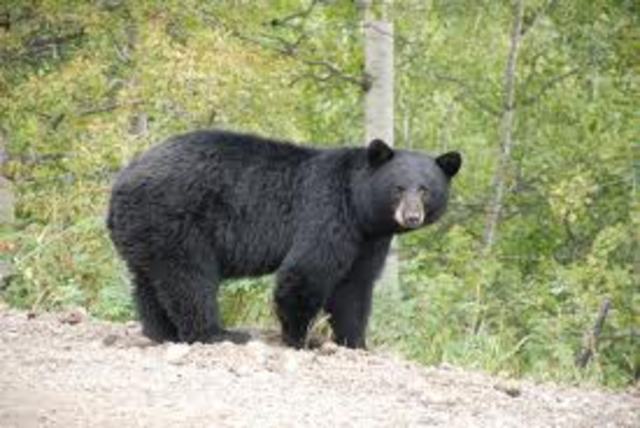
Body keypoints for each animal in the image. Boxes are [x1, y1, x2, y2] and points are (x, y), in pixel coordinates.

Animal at [107, 130, 461, 349]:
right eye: (398, 188)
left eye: (425, 189)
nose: (412, 216)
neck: (359, 207)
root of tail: (121, 183)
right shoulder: (327, 212)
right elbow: (306, 271)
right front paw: (300, 339)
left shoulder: (368, 240)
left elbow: (354, 287)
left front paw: (355, 342)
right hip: (176, 219)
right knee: (189, 279)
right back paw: (217, 333)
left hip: (144, 231)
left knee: (148, 282)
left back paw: (162, 332)